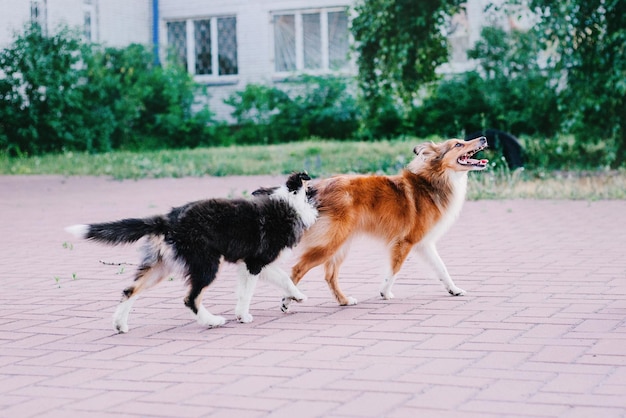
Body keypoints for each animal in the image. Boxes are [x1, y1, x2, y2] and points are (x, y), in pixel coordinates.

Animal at [67, 172, 316, 334]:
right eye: (311, 189)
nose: (318, 191)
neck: (288, 205)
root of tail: (167, 221)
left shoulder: (253, 263)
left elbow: (281, 278)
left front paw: (297, 296)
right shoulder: (255, 262)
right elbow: (247, 293)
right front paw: (243, 316)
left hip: (160, 266)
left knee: (130, 290)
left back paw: (120, 325)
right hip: (206, 263)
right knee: (191, 298)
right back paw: (212, 321)